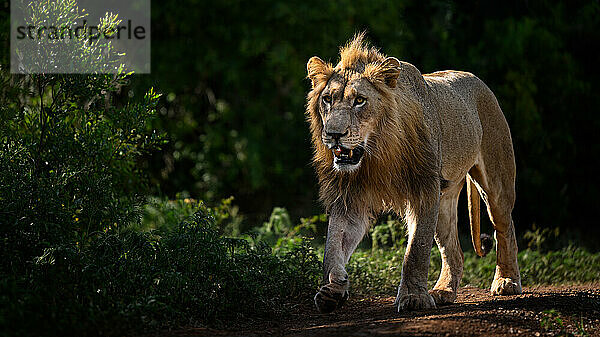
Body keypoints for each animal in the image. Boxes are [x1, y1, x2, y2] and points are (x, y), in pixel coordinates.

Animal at [304, 34, 520, 312]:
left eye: (360, 100)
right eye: (328, 100)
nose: (333, 134)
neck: (377, 154)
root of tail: (475, 78)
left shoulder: (424, 189)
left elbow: (416, 250)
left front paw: (414, 297)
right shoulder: (350, 196)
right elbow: (333, 244)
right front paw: (333, 286)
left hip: (495, 181)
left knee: (505, 228)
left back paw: (506, 282)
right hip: (445, 198)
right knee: (454, 250)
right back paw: (443, 291)